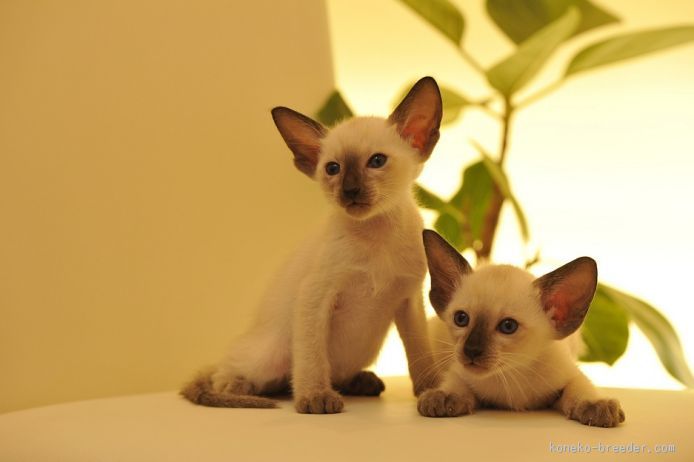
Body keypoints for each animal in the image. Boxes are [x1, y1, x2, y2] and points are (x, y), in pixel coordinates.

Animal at [182, 77, 444, 414]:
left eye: (377, 162)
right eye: (333, 169)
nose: (350, 190)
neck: (375, 235)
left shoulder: (409, 298)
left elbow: (420, 352)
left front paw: (433, 391)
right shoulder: (316, 295)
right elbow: (312, 357)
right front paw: (315, 397)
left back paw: (361, 382)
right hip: (271, 354)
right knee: (227, 375)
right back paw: (246, 391)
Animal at [422, 229, 628, 428]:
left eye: (508, 326)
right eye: (461, 319)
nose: (471, 350)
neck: (511, 374)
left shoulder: (568, 375)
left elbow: (580, 387)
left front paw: (596, 406)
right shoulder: (459, 372)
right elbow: (455, 383)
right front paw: (442, 397)